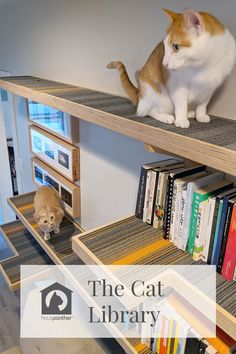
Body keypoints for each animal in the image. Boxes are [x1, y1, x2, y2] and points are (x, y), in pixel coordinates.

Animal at [107, 9, 236, 129]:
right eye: (165, 46)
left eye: (176, 47)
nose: (164, 64)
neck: (205, 66)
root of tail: (139, 94)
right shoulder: (177, 83)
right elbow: (181, 103)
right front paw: (181, 119)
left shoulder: (210, 87)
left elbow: (203, 104)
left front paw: (200, 115)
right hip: (157, 95)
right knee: (147, 111)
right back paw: (167, 117)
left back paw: (190, 112)